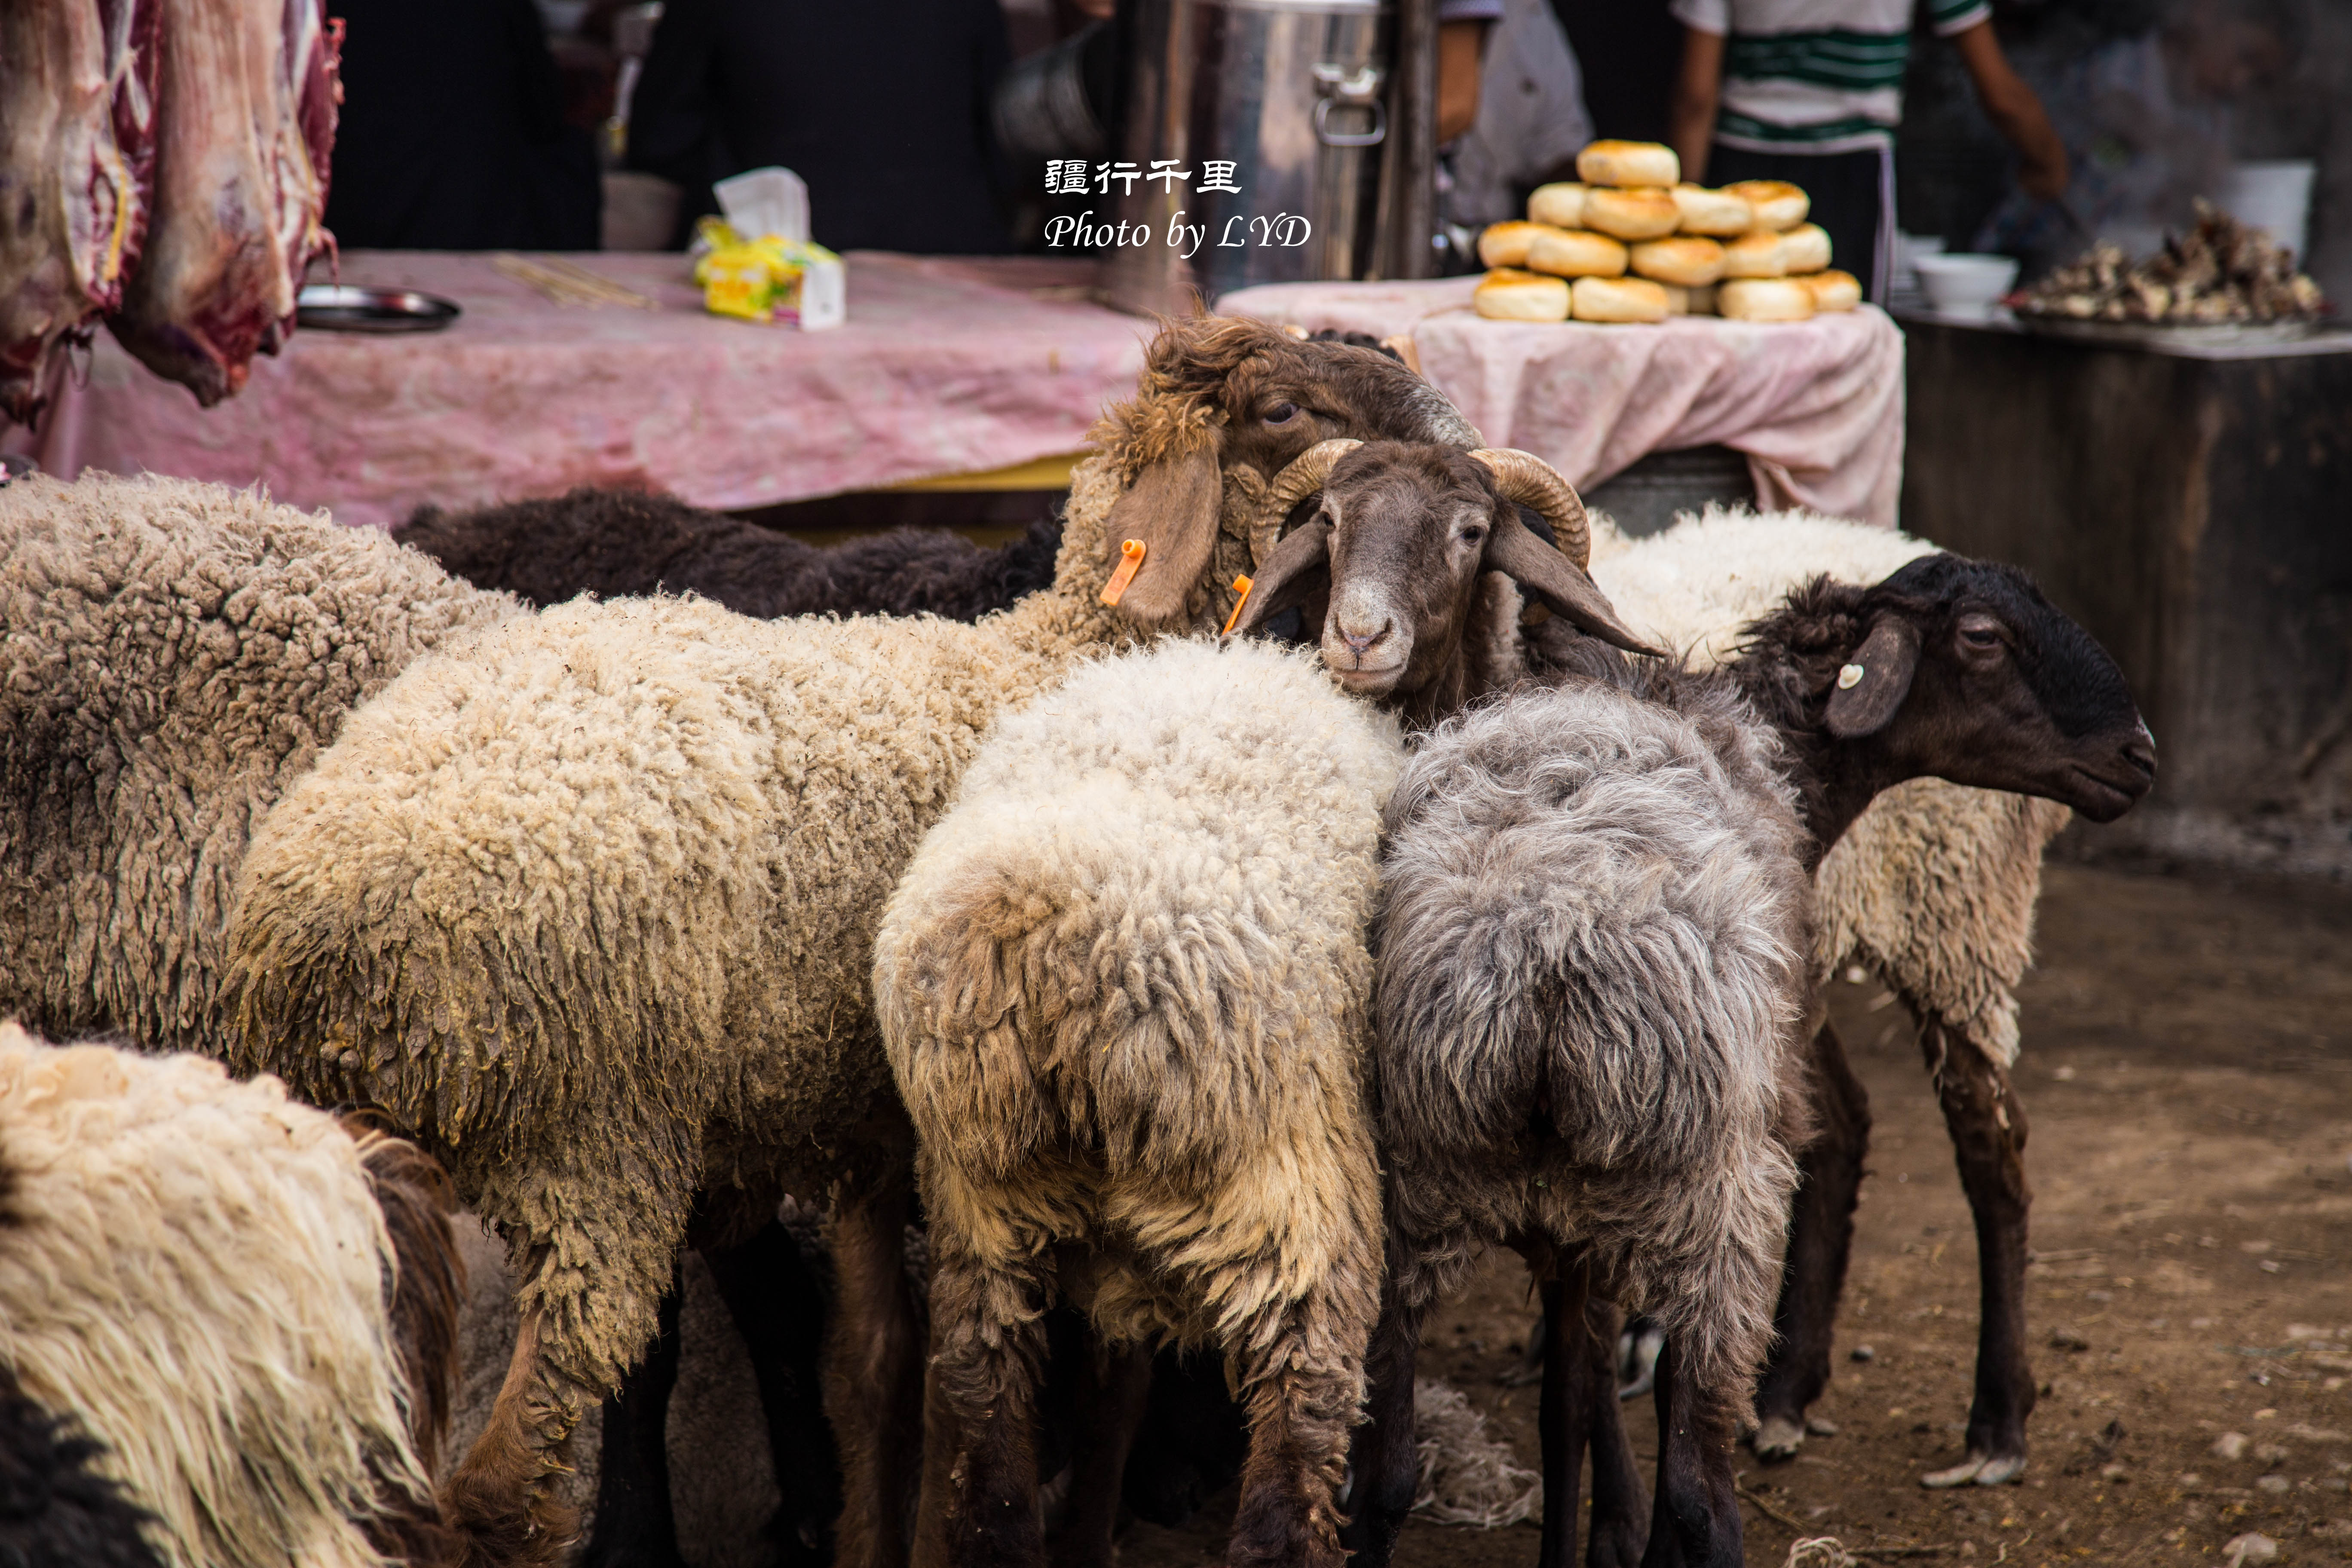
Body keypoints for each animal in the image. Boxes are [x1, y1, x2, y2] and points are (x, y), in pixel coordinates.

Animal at [207, 310, 1486, 1568]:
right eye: (1280, 406)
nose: (1463, 443)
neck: (1044, 655)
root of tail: (327, 936)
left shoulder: (866, 1120)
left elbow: (879, 1367)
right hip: (597, 1142)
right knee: (507, 1479)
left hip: (385, 1175)